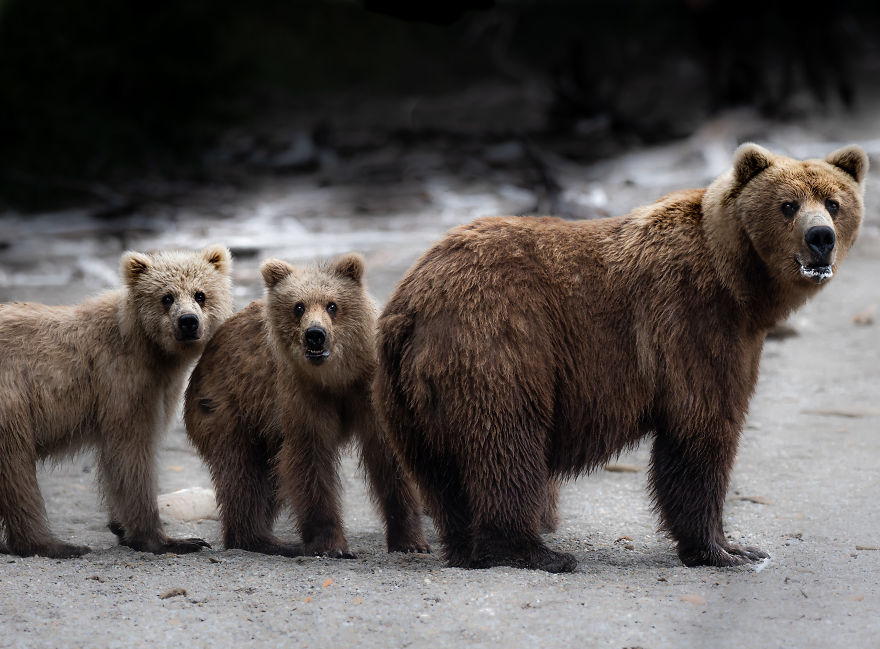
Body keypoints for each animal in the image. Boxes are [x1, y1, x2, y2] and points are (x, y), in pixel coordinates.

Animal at [0, 245, 234, 558]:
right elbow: (131, 454)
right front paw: (168, 539)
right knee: (16, 467)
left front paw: (121, 527)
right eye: (167, 297)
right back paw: (56, 544)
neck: (151, 350)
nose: (188, 322)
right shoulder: (122, 382)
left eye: (200, 294)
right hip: (11, 398)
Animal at [184, 253, 429, 558]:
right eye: (298, 306)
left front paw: (411, 541)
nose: (315, 334)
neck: (336, 377)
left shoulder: (367, 390)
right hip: (228, 407)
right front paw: (332, 545)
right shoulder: (301, 397)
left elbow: (389, 458)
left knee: (265, 480)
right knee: (241, 473)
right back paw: (266, 540)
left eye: (332, 304)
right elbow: (310, 462)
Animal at [374, 143, 868, 573]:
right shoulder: (692, 321)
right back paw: (538, 552)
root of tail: (410, 302)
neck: (739, 284)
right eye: (787, 205)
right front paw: (724, 550)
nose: (820, 238)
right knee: (505, 442)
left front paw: (736, 547)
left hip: (408, 396)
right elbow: (701, 428)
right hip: (498, 341)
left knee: (440, 470)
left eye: (834, 202)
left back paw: (466, 546)